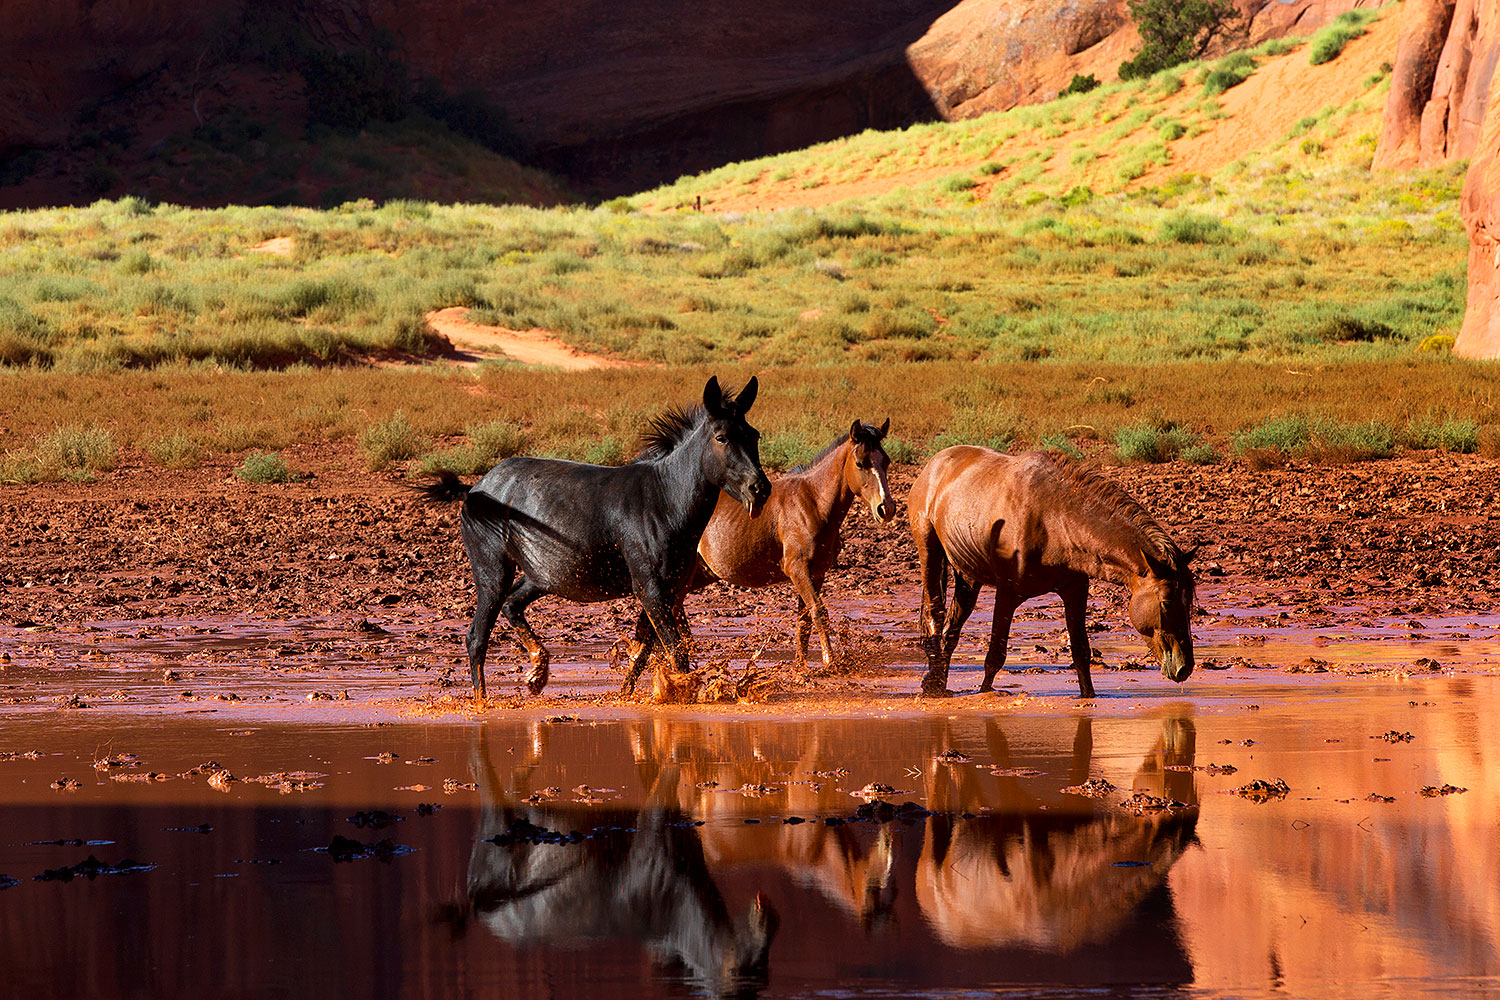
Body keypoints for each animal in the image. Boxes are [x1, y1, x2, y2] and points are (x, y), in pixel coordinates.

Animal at [420, 376, 772, 698]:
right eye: (722, 437)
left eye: (754, 435)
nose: (760, 488)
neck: (665, 499)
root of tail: (475, 488)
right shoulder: (652, 589)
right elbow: (675, 651)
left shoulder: (670, 591)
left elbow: (641, 653)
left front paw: (627, 697)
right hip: (493, 573)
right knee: (477, 638)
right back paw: (484, 702)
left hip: (541, 575)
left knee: (511, 605)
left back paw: (537, 674)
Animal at [692, 419, 895, 673]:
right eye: (860, 463)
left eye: (886, 461)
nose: (886, 508)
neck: (813, 502)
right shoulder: (798, 570)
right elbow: (818, 611)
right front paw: (830, 661)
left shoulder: (816, 573)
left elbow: (804, 617)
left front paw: (801, 663)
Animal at [907, 447, 1196, 698]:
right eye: (1166, 602)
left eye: (1189, 602)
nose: (1185, 668)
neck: (1054, 520)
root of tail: (934, 463)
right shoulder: (1007, 594)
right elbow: (995, 656)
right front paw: (985, 694)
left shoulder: (1075, 591)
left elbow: (1081, 652)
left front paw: (1088, 697)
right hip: (928, 550)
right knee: (934, 613)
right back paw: (933, 687)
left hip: (968, 576)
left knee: (951, 628)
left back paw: (938, 684)